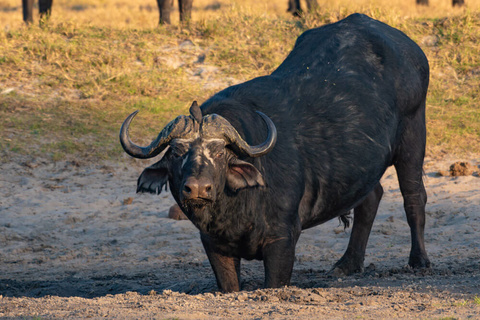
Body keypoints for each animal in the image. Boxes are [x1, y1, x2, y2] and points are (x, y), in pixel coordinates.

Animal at [120, 13, 432, 292]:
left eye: (220, 152)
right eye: (176, 153)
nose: (197, 188)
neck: (234, 205)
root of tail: (411, 49)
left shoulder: (282, 241)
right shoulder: (214, 246)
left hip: (413, 135)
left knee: (414, 196)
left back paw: (419, 261)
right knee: (370, 198)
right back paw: (347, 264)